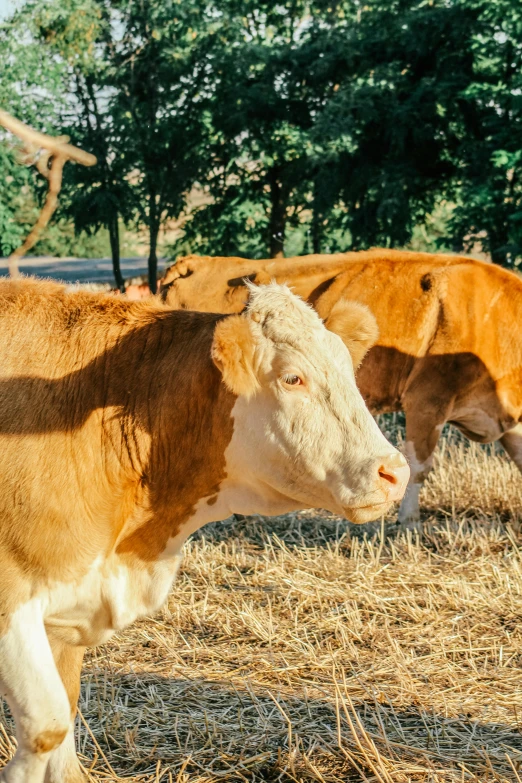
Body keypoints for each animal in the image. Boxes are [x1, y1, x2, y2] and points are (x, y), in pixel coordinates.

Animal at [0, 278, 406, 780]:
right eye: (293, 378)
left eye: (349, 370)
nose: (395, 472)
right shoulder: (12, 602)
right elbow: (46, 728)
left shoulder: (69, 609)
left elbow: (66, 735)